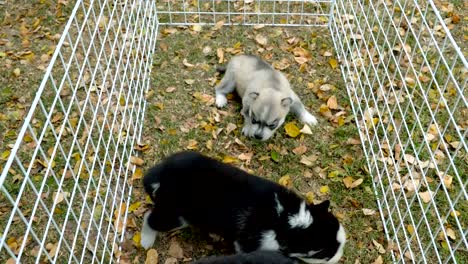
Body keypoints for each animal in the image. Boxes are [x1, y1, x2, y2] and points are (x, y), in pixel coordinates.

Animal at [141, 152, 346, 262]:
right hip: (175, 215)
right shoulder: (249, 244)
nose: (340, 257)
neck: (288, 219)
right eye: (326, 255)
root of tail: (162, 174)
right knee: (149, 219)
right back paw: (146, 241)